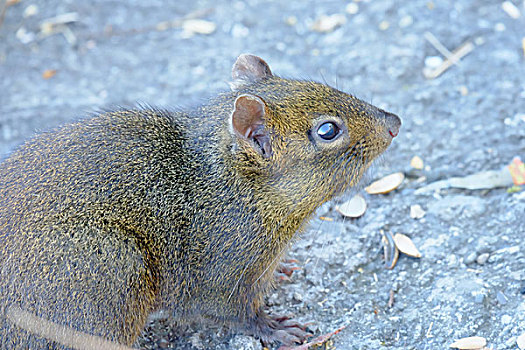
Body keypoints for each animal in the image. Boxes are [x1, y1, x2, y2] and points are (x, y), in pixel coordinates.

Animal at [1, 53, 402, 348]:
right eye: (328, 130)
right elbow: (237, 313)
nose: (395, 122)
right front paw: (275, 329)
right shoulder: (219, 271)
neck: (234, 186)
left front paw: (283, 270)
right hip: (105, 268)